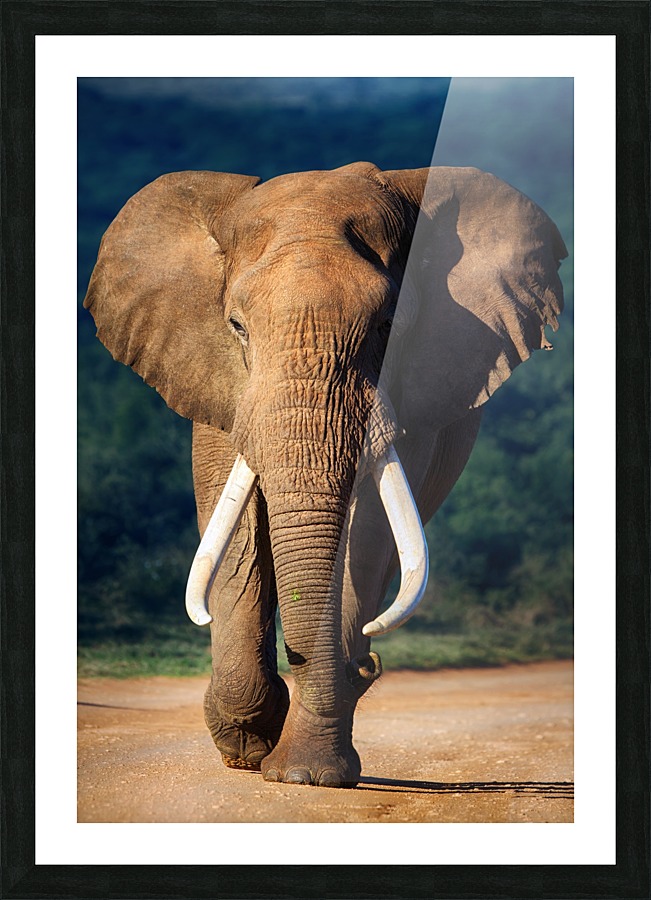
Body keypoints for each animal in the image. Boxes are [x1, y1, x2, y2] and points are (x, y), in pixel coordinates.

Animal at [83, 161, 566, 788]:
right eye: (236, 325)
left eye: (388, 325)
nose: (366, 664)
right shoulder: (215, 378)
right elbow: (234, 524)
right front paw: (249, 745)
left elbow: (365, 532)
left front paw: (304, 775)